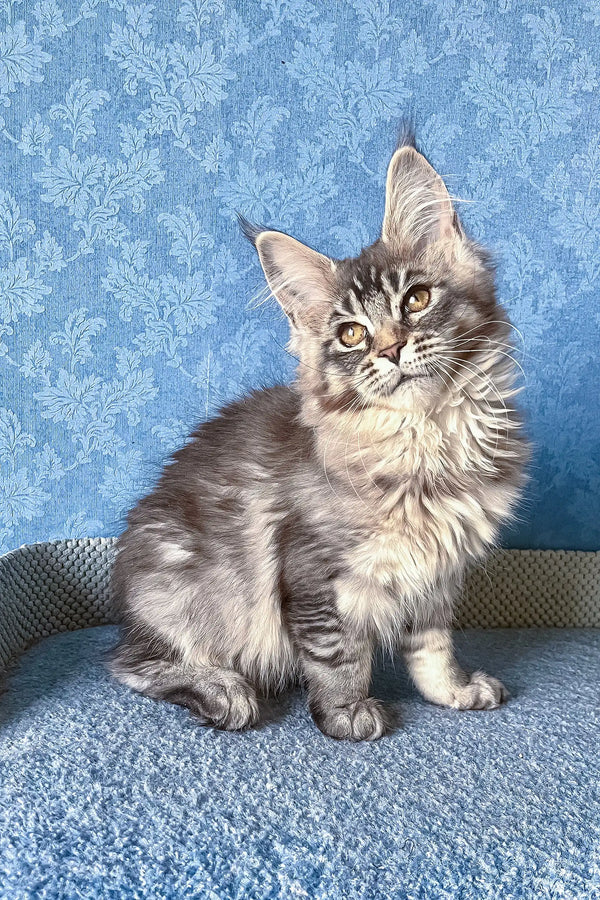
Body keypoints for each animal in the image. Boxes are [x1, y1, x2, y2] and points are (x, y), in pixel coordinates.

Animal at [110, 134, 528, 740]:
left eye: (416, 300)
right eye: (351, 334)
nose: (391, 349)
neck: (424, 440)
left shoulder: (433, 576)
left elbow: (432, 647)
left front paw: (452, 691)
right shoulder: (313, 571)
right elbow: (337, 652)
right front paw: (347, 712)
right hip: (188, 596)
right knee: (132, 664)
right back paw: (222, 690)